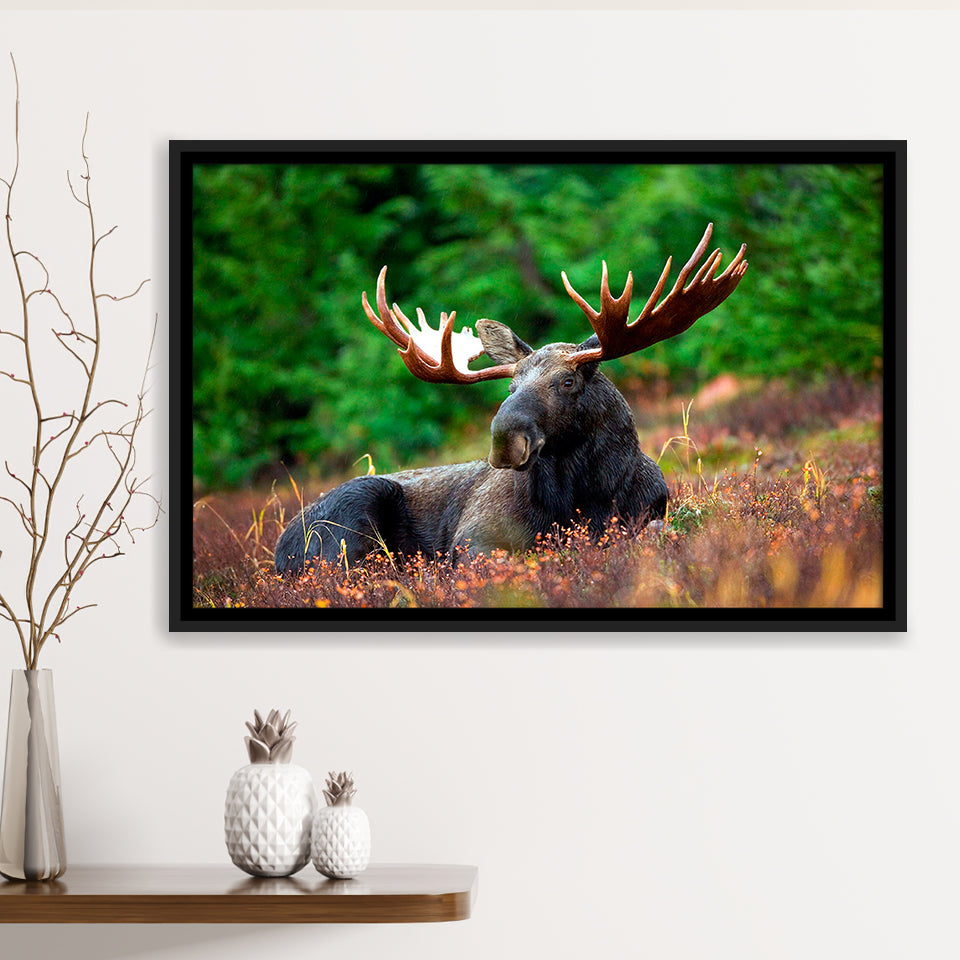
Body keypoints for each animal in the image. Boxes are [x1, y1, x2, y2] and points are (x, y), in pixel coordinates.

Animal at [274, 223, 747, 577]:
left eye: (567, 382)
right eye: (510, 387)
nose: (505, 439)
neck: (586, 497)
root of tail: (279, 550)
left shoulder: (649, 515)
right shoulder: (474, 539)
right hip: (352, 517)